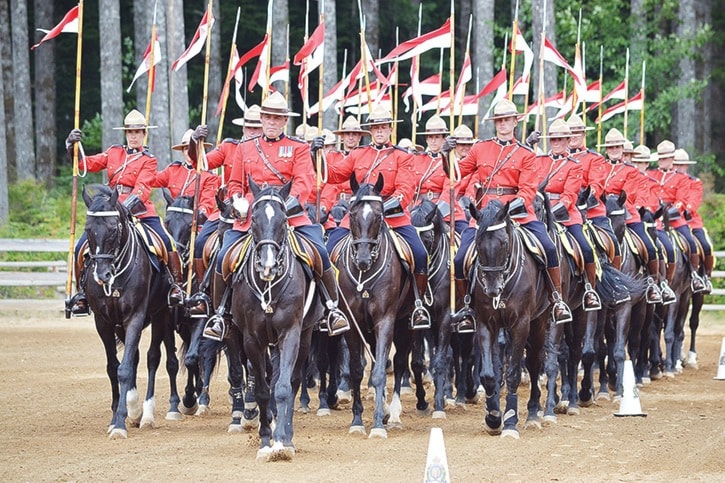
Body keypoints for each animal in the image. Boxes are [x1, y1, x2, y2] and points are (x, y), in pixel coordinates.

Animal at [78, 184, 181, 438]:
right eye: (87, 229)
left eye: (113, 228)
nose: (102, 274)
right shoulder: (104, 322)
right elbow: (114, 367)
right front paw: (119, 413)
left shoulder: (135, 316)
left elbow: (125, 368)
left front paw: (120, 423)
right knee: (134, 358)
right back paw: (134, 409)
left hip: (160, 314)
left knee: (154, 358)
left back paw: (148, 414)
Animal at [228, 179, 320, 462]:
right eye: (254, 219)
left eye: (283, 220)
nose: (267, 266)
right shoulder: (251, 339)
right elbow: (261, 389)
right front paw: (265, 440)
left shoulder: (290, 333)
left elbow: (282, 387)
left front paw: (281, 441)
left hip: (305, 336)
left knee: (292, 381)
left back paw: (286, 433)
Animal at [470, 200, 548, 438]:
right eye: (478, 243)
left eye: (504, 243)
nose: (492, 289)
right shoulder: (486, 324)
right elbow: (488, 374)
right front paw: (494, 417)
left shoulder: (521, 324)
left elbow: (513, 373)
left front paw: (511, 420)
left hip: (539, 323)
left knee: (534, 363)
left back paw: (533, 413)